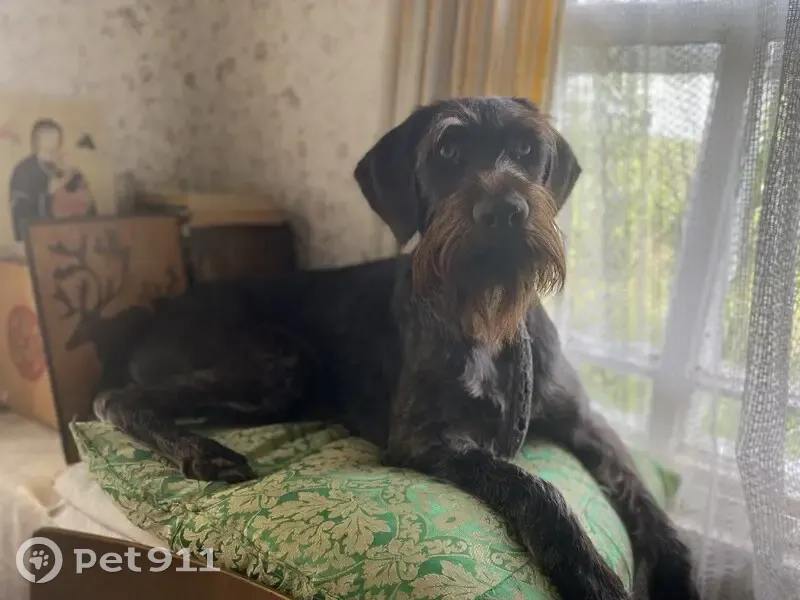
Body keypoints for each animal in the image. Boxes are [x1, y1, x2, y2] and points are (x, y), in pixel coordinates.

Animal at [93, 97, 698, 600]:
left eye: (528, 149)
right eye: (447, 149)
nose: (504, 213)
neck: (486, 315)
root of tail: (154, 314)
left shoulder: (585, 422)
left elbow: (645, 500)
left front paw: (675, 574)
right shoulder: (423, 438)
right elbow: (535, 488)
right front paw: (590, 574)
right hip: (275, 365)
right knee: (114, 399)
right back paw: (201, 450)